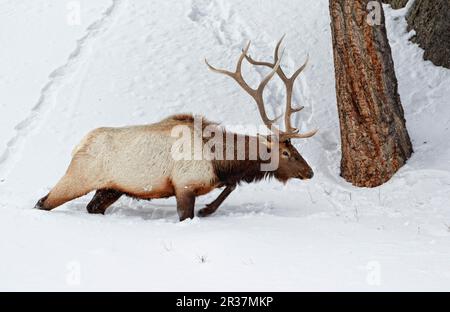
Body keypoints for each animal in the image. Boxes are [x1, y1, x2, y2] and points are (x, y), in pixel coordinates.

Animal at [35, 36, 316, 221]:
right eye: (287, 153)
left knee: (92, 207)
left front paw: (208, 209)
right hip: (78, 177)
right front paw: (204, 210)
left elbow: (231, 186)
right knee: (43, 202)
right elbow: (190, 213)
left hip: (110, 188)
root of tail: (78, 146)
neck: (218, 160)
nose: (310, 172)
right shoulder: (184, 186)